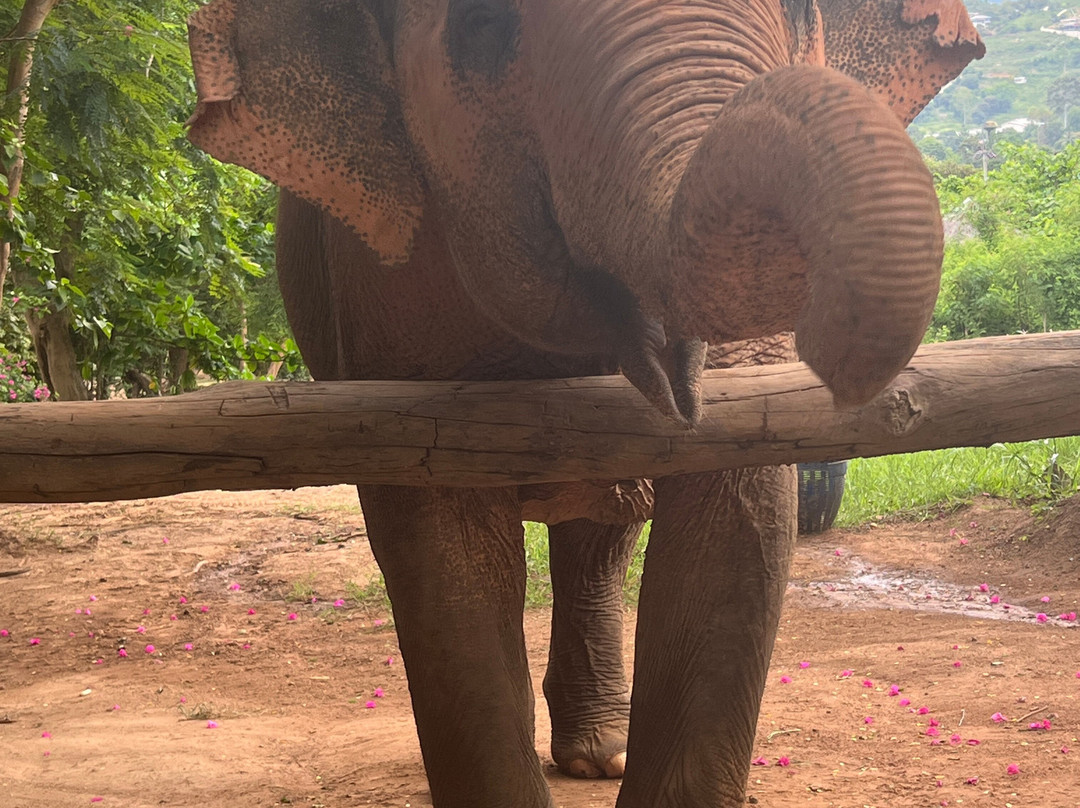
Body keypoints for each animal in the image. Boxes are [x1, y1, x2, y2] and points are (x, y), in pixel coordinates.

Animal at [185, 1, 983, 806]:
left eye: (799, 12)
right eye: (481, 23)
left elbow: (737, 508)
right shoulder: (382, 280)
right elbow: (440, 539)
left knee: (601, 535)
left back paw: (603, 755)